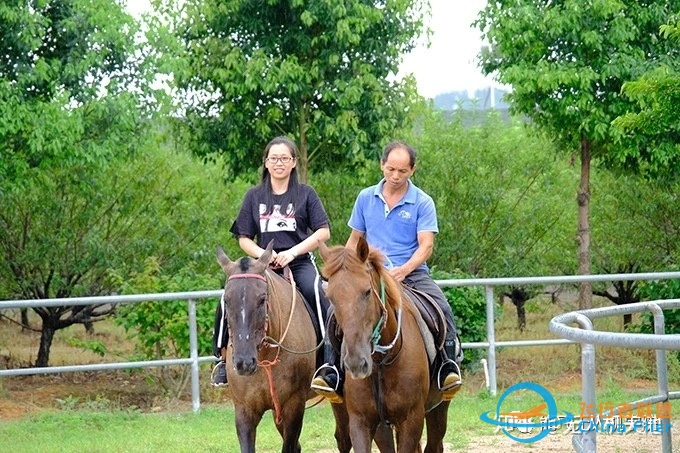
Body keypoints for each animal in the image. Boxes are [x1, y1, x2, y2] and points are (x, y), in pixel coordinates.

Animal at [218, 242, 332, 452]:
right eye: (226, 300)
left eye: (262, 299)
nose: (244, 363)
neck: (265, 356)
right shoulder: (244, 411)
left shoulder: (294, 407)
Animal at [318, 237, 452, 452]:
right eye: (331, 297)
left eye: (366, 292)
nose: (356, 363)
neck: (382, 361)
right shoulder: (364, 422)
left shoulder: (411, 420)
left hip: (438, 409)